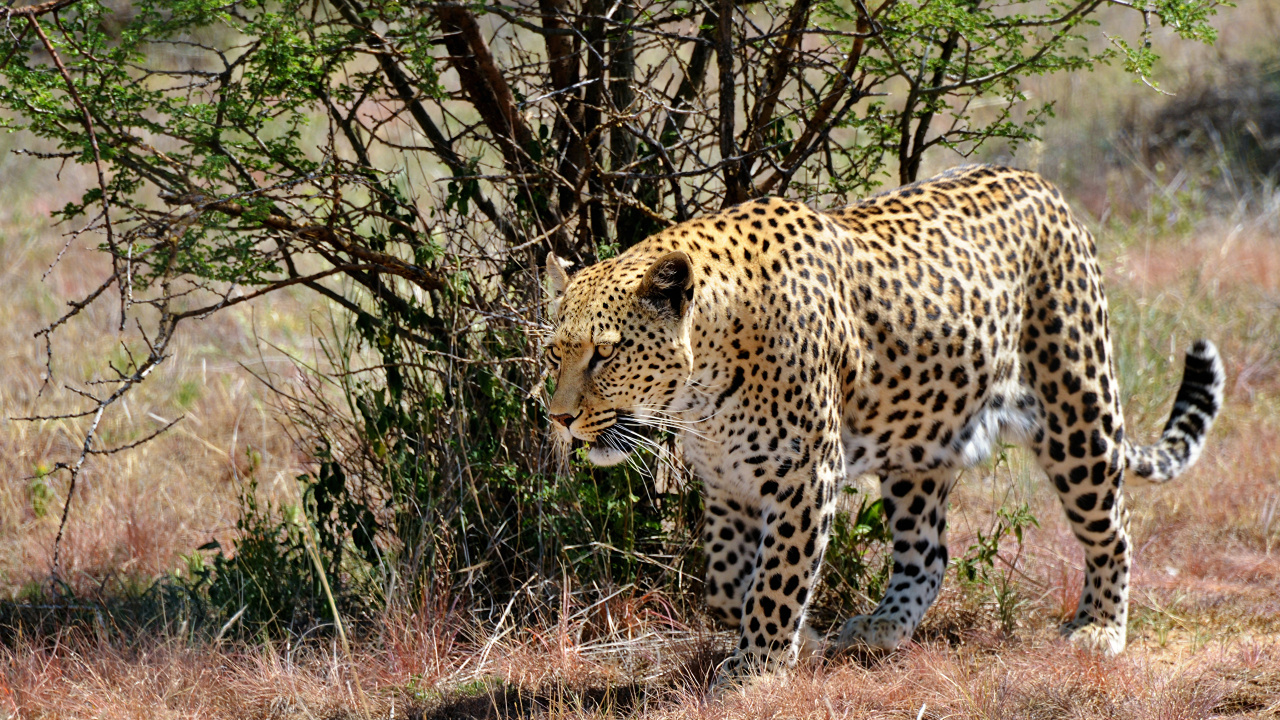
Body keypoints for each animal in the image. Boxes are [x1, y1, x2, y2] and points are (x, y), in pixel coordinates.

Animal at [542, 164, 1224, 679]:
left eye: (605, 354)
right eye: (554, 354)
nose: (562, 419)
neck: (701, 390)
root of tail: (1048, 188)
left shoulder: (804, 475)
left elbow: (777, 578)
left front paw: (757, 669)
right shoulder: (729, 484)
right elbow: (729, 584)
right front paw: (799, 643)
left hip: (1077, 410)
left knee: (1115, 527)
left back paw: (1100, 628)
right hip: (918, 448)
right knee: (929, 552)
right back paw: (883, 627)